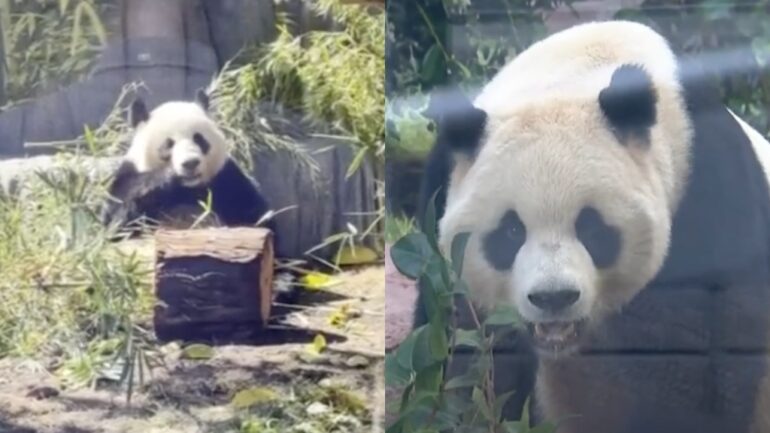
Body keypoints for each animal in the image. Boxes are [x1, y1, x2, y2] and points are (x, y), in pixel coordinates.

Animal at [101, 89, 275, 236]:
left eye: (198, 139)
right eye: (169, 144)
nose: (190, 163)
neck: (188, 188)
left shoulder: (228, 178)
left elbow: (258, 218)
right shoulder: (129, 175)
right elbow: (118, 220)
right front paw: (166, 177)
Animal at [416, 20, 770, 433]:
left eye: (591, 228)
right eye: (511, 232)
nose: (554, 298)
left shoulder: (709, 192)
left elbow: (694, 352)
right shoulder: (438, 195)